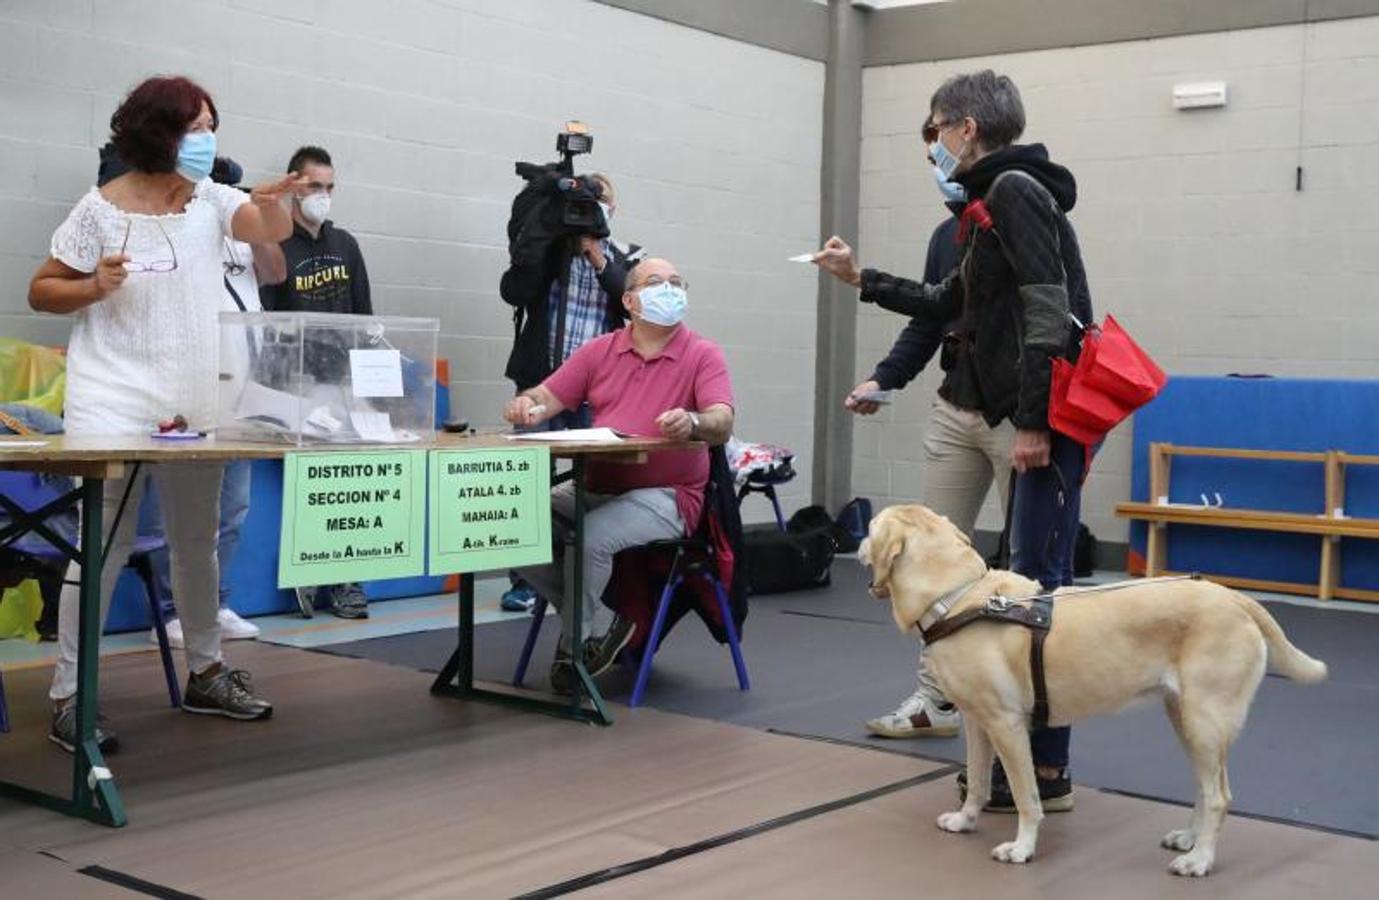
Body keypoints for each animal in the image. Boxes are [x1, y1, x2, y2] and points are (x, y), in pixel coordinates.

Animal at [860, 501, 1323, 876]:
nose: (861, 541)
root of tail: (1235, 599)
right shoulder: (978, 723)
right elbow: (975, 780)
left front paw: (1022, 848)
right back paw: (1189, 840)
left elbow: (1027, 796)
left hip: (1205, 722)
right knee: (1203, 789)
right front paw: (965, 820)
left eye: (870, 527)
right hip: (1187, 722)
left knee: (1219, 796)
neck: (958, 597)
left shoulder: (1007, 726)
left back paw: (1200, 860)